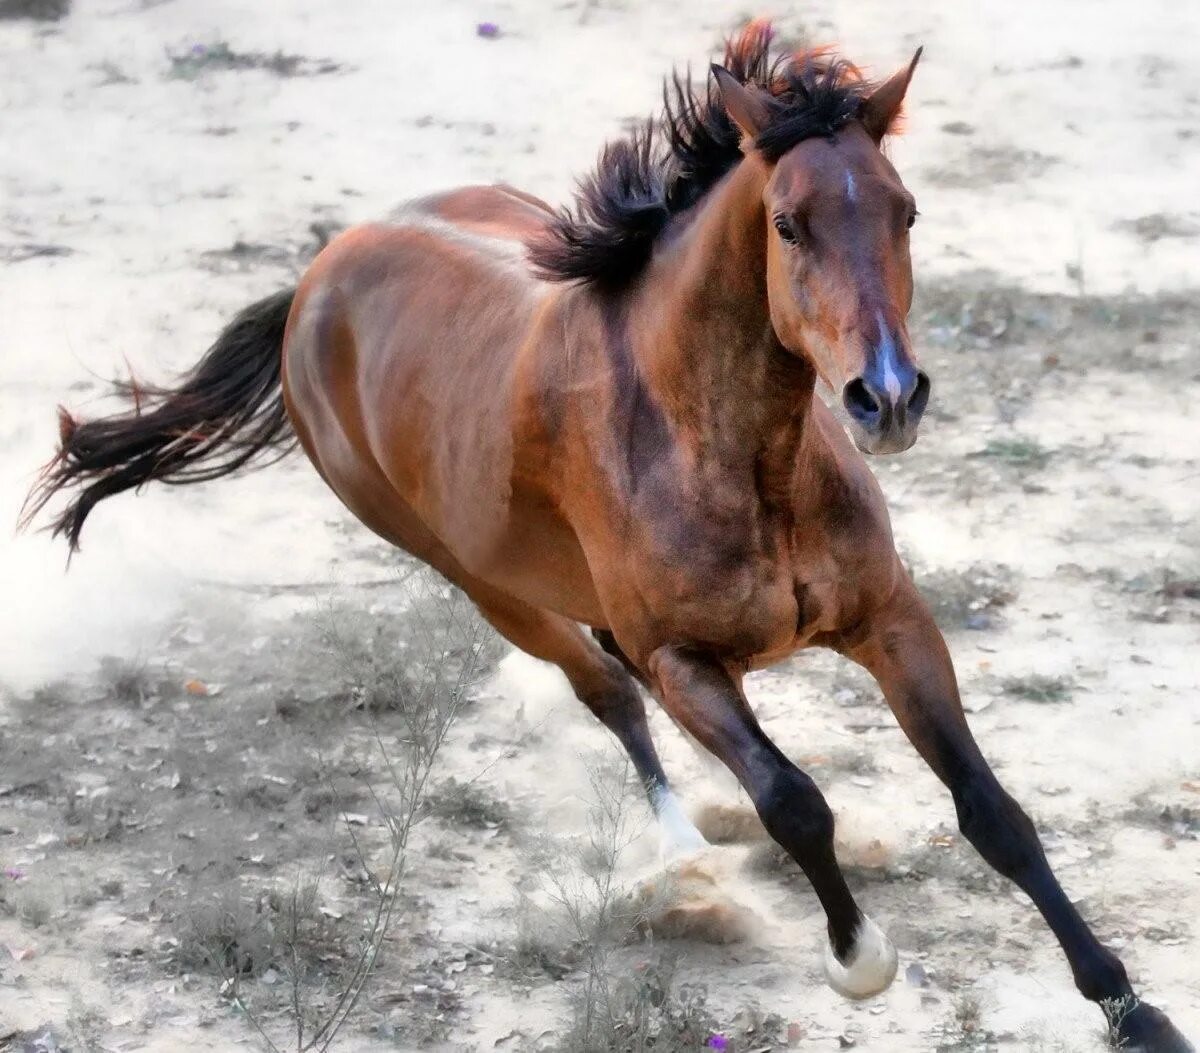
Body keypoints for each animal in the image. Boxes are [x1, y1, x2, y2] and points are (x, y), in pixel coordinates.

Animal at [18, 24, 1190, 1053]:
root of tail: (312, 281)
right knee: (610, 693)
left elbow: (991, 811)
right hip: (485, 583)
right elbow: (790, 800)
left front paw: (1134, 1013)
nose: (887, 397)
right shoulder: (688, 660)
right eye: (788, 223)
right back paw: (685, 861)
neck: (739, 454)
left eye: (905, 212)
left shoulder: (891, 620)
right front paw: (858, 959)